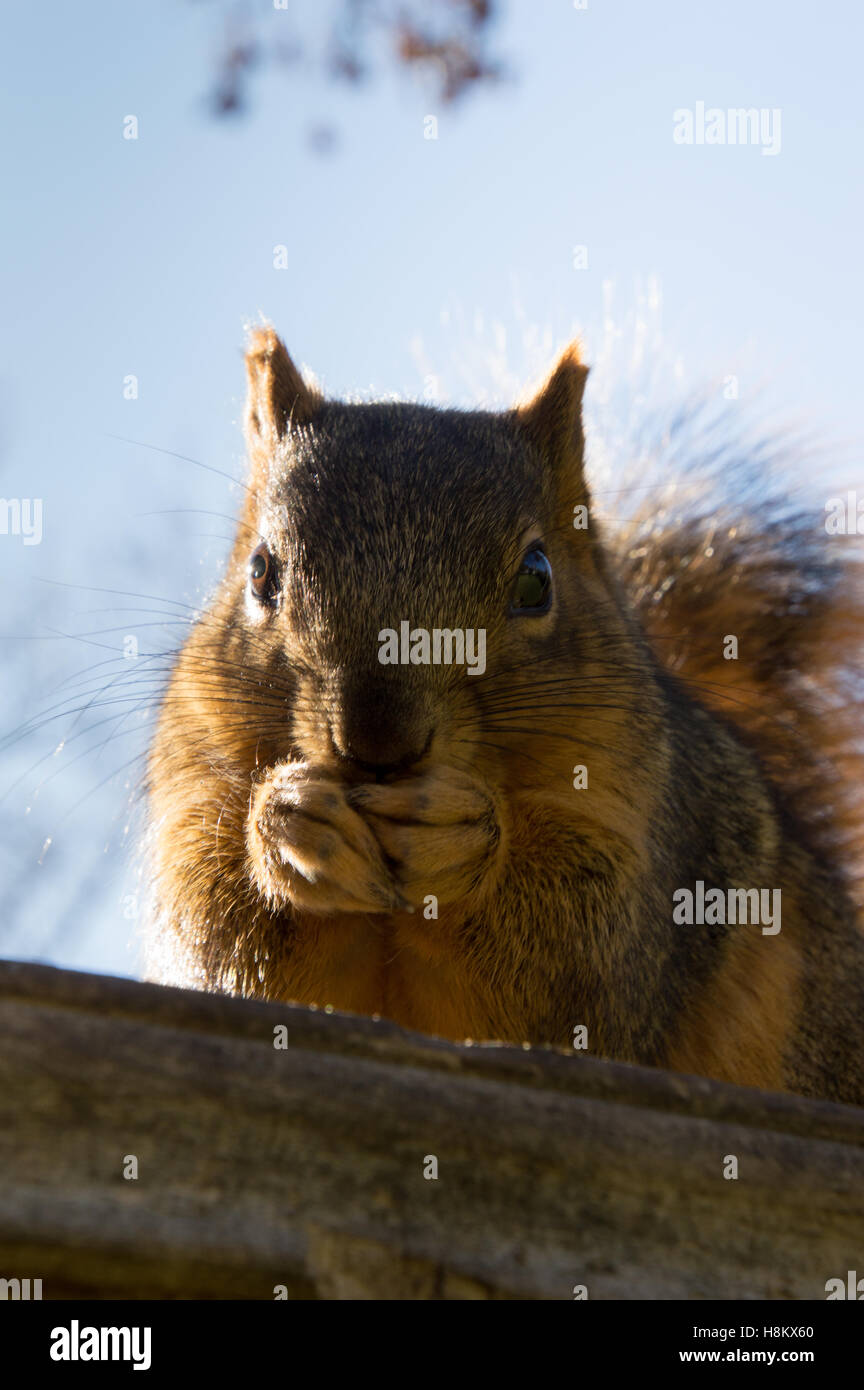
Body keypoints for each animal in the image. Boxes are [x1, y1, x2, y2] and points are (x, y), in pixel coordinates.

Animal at [145, 325, 864, 1106]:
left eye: (536, 579)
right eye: (260, 574)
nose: (377, 745)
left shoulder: (656, 846)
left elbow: (576, 968)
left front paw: (462, 837)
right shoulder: (195, 785)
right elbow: (224, 942)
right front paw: (287, 824)